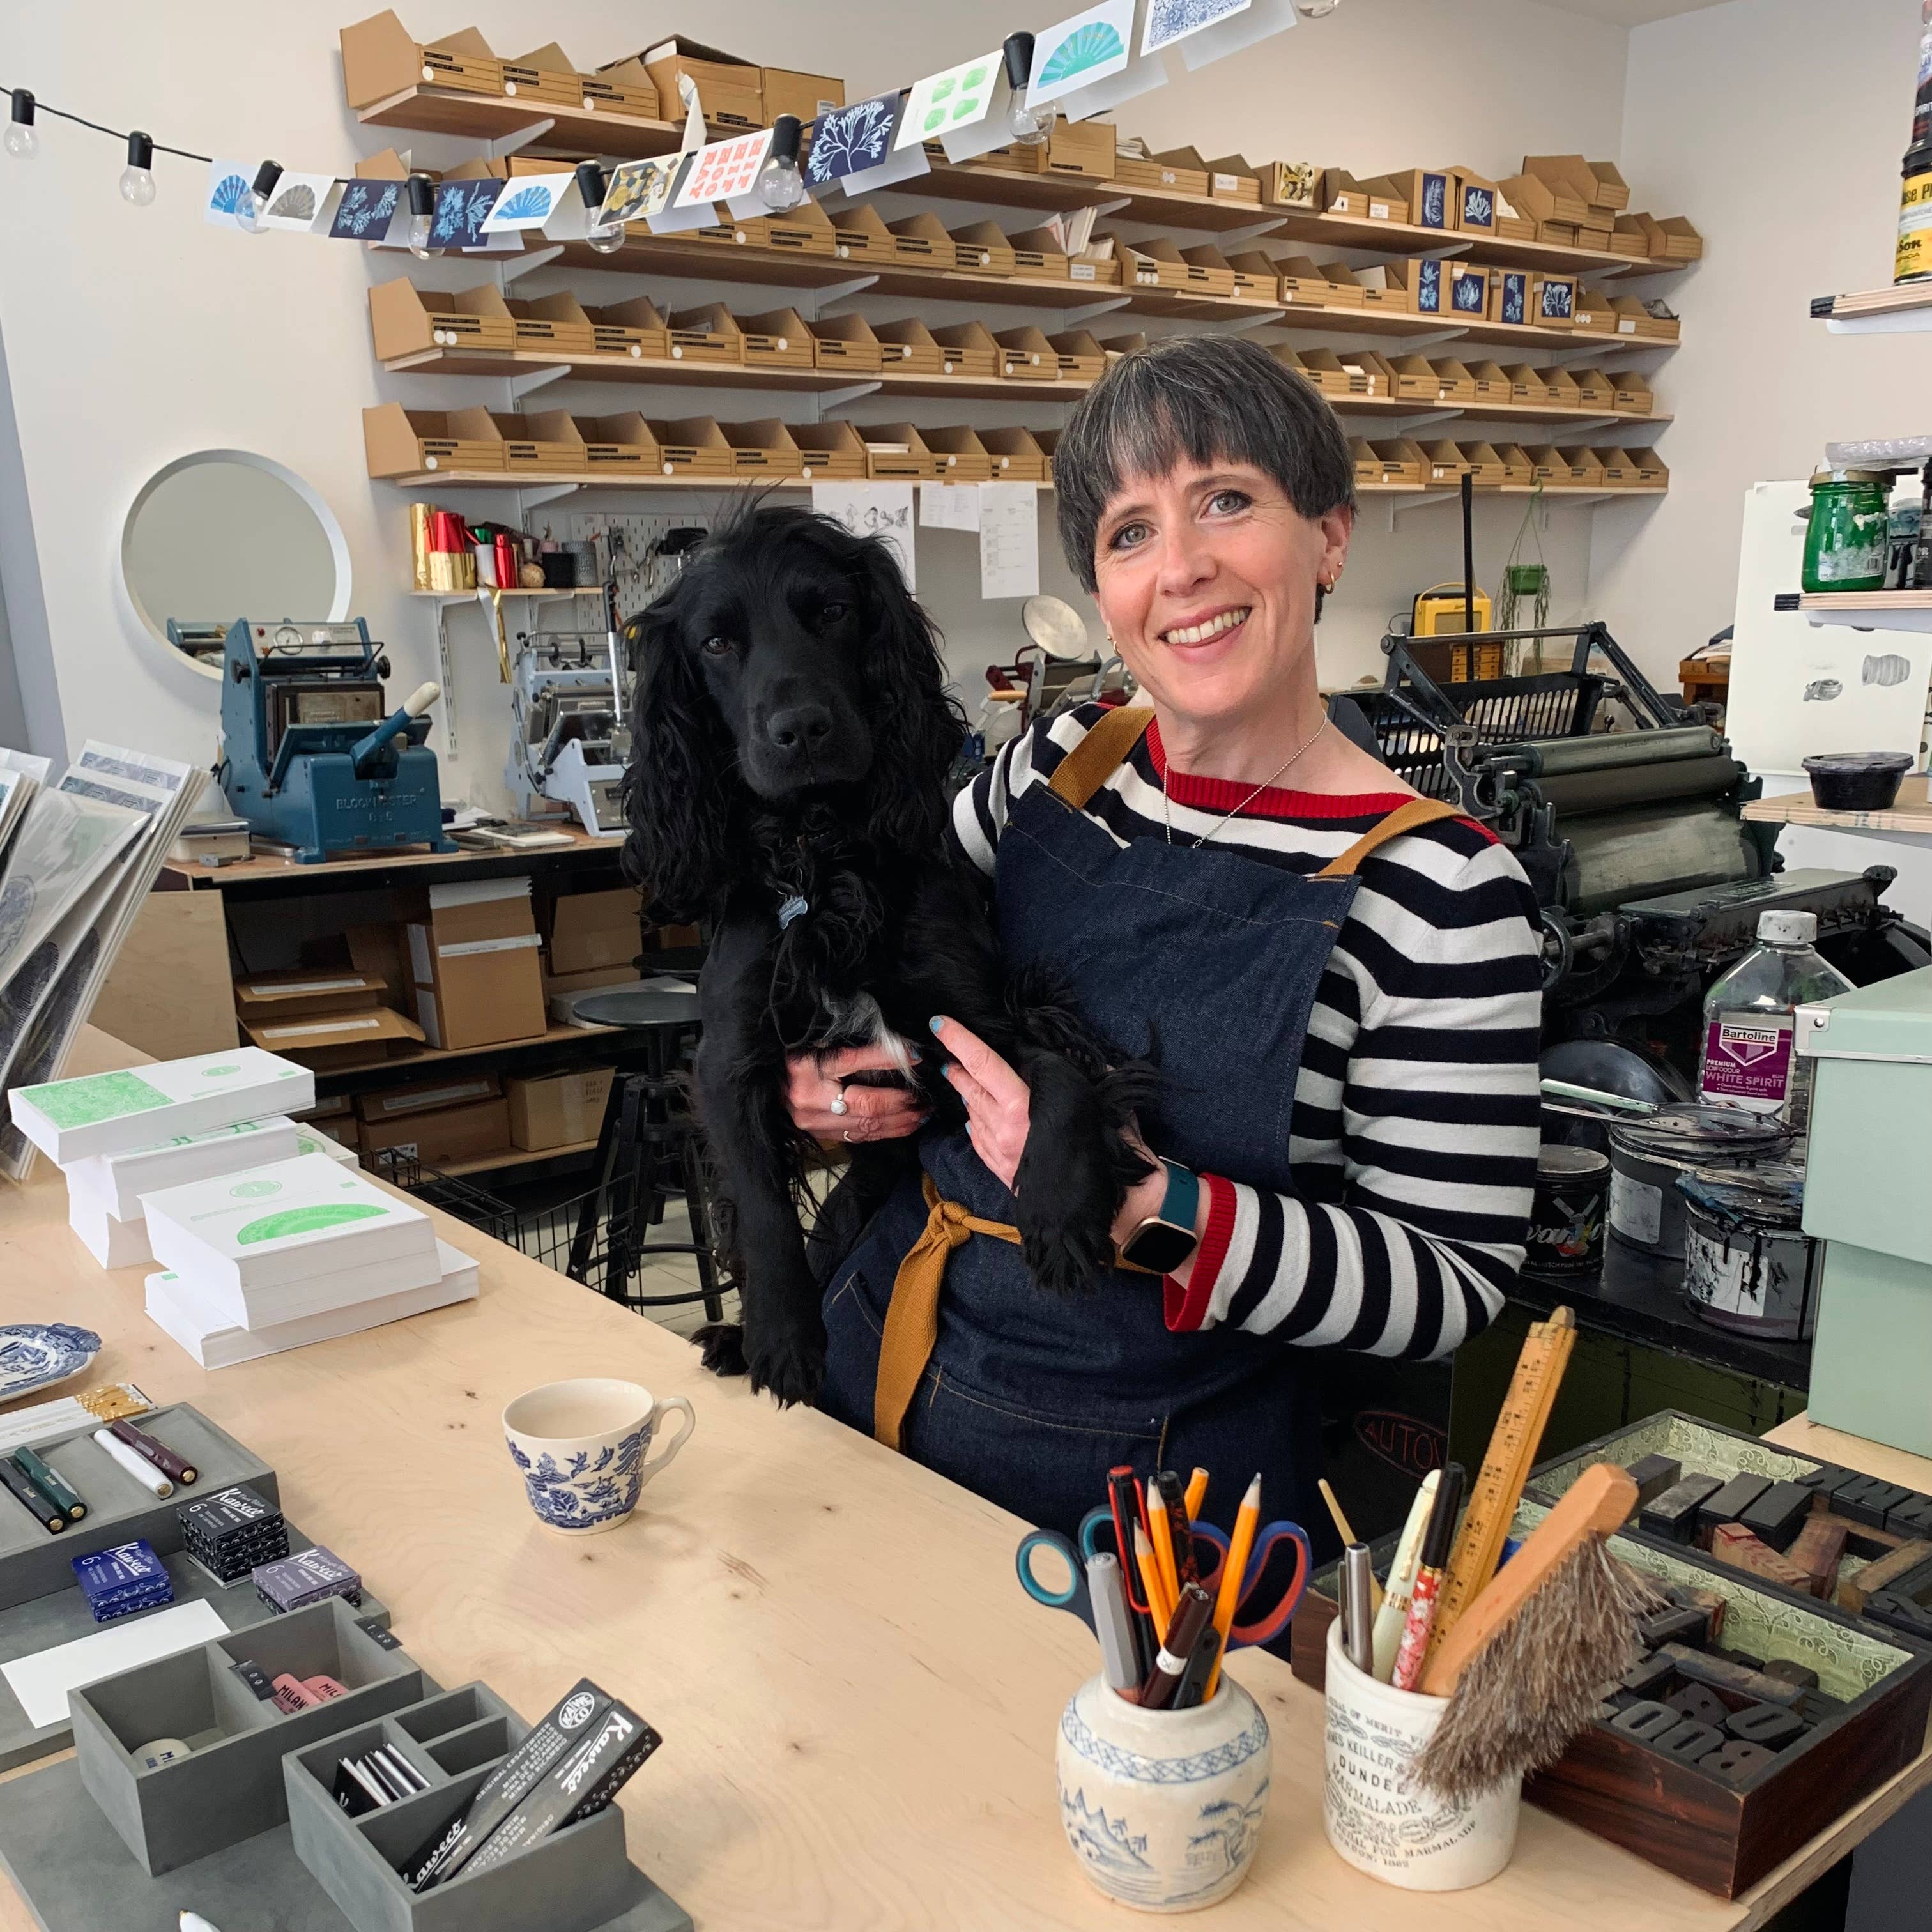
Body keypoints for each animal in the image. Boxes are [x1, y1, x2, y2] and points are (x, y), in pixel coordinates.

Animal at [622, 502, 1144, 1406]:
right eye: (716, 643)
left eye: (831, 610)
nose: (801, 731)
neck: (826, 863)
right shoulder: (728, 1059)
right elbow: (762, 1208)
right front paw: (782, 1338)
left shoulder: (974, 1024)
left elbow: (1062, 1073)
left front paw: (1060, 1213)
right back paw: (734, 1337)